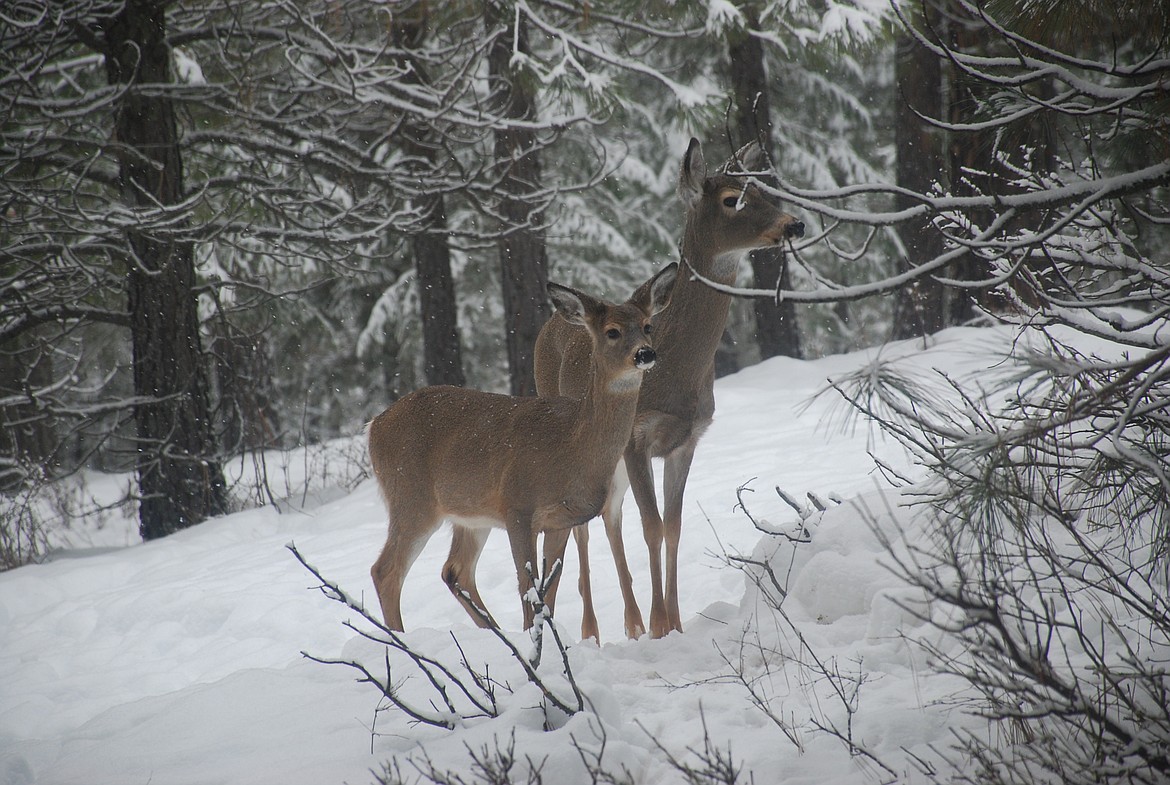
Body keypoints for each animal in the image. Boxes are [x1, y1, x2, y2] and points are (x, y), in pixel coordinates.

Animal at [365, 264, 678, 631]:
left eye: (647, 325)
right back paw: (402, 639)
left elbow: (549, 592)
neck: (571, 445)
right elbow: (528, 591)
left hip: (471, 514)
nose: (645, 353)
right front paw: (534, 642)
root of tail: (373, 427)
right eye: (612, 331)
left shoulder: (561, 520)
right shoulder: (518, 507)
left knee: (455, 570)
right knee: (386, 571)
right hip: (412, 499)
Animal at [533, 138, 800, 641]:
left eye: (761, 188)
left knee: (609, 515)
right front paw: (660, 626)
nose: (794, 223)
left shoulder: (686, 440)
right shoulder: (636, 438)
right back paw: (593, 629)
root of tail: (550, 324)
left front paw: (672, 623)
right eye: (732, 199)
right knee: (585, 526)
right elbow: (651, 527)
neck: (677, 367)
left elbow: (673, 527)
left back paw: (631, 622)